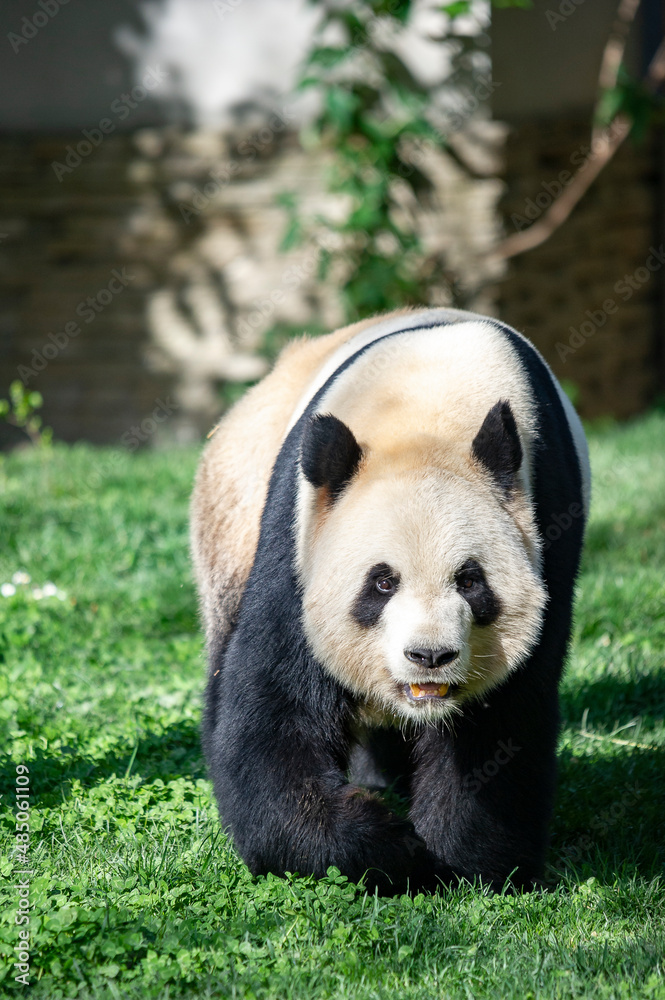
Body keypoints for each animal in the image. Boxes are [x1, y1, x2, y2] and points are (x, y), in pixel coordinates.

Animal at [190, 306, 590, 896]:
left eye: (470, 580)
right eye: (382, 583)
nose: (430, 656)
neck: (426, 412)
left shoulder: (546, 523)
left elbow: (498, 725)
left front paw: (461, 860)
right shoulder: (300, 532)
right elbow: (273, 708)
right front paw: (387, 845)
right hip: (232, 509)